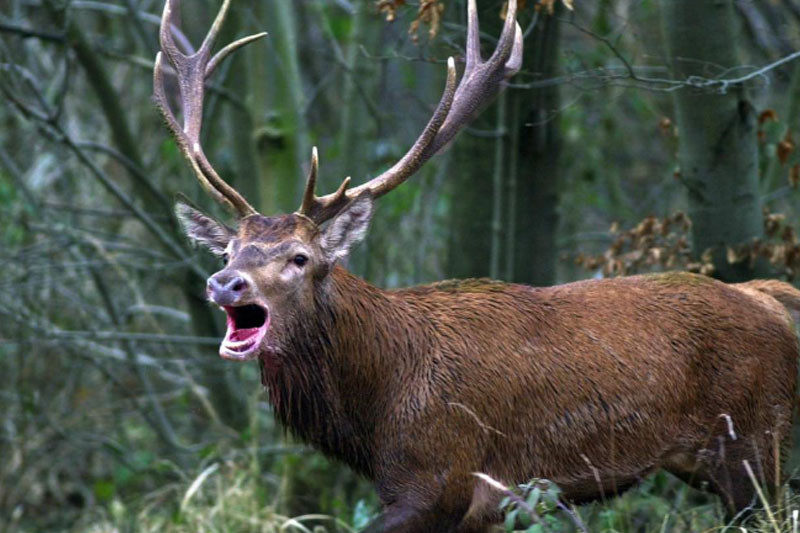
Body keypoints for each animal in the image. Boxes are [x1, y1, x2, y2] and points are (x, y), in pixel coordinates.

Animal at [153, 1, 800, 528]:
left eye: (299, 256)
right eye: (229, 251)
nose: (224, 282)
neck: (377, 406)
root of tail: (770, 297)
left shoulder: (440, 477)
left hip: (752, 445)